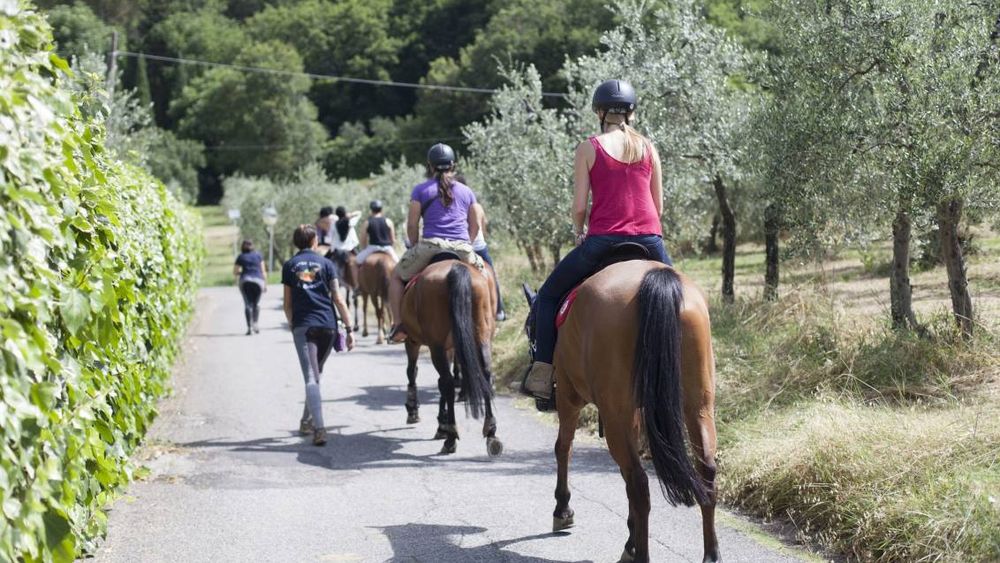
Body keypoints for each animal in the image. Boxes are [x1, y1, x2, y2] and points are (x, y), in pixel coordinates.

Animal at [402, 260, 504, 458]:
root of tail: (456, 268)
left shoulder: (413, 341)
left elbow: (412, 372)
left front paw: (414, 411)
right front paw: (441, 423)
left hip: (436, 345)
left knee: (447, 383)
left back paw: (450, 438)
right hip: (481, 335)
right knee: (485, 375)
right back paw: (491, 432)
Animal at [524, 262, 720, 563]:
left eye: (529, 329)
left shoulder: (570, 397)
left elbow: (563, 447)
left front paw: (563, 509)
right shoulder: (634, 415)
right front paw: (631, 538)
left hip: (613, 412)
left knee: (638, 483)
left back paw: (641, 555)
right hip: (698, 406)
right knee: (705, 470)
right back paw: (710, 554)